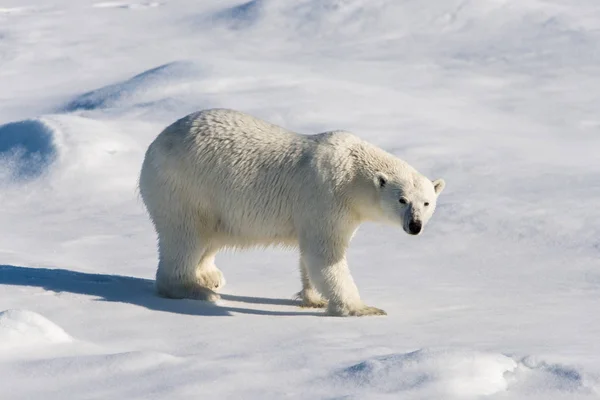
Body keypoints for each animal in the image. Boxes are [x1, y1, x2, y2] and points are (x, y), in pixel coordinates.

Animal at [138, 108, 442, 316]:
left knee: (210, 237)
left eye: (426, 202)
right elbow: (325, 256)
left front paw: (313, 299)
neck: (352, 173)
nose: (415, 225)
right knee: (185, 236)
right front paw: (363, 308)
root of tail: (154, 145)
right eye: (402, 200)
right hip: (185, 188)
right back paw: (194, 290)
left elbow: (309, 256)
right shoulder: (327, 198)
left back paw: (209, 276)